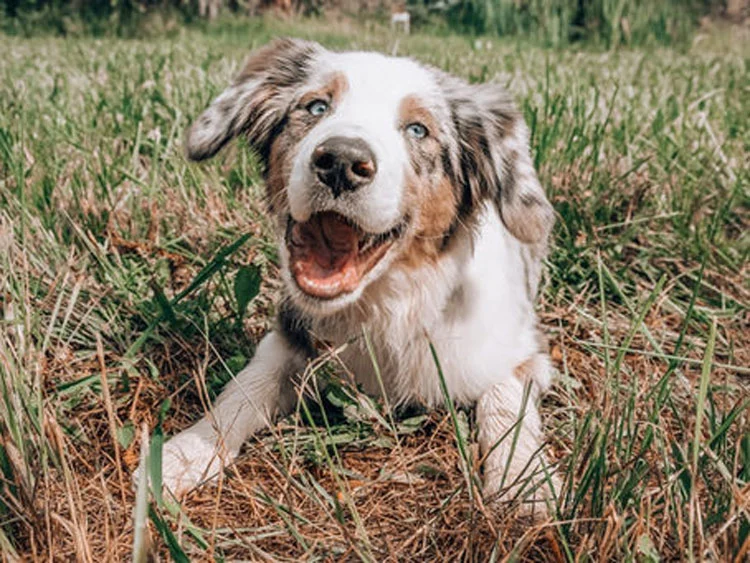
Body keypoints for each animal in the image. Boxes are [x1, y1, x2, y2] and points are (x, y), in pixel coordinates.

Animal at [145, 37, 560, 516]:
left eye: (418, 130)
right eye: (316, 106)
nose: (341, 161)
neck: (385, 306)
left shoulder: (521, 349)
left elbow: (505, 404)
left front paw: (526, 483)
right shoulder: (288, 335)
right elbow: (242, 389)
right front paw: (180, 456)